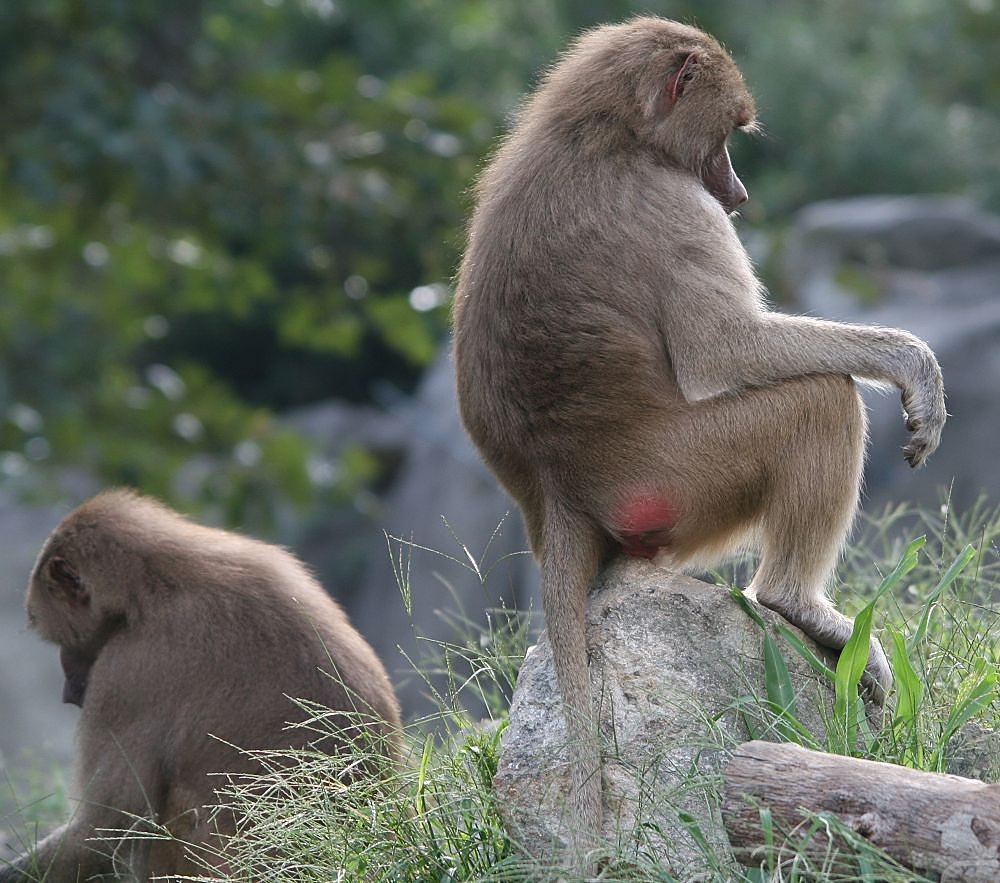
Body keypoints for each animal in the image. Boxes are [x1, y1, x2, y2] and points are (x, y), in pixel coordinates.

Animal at [452, 16, 945, 861]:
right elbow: (725, 351)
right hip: (683, 474)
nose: (739, 195)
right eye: (725, 136)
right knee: (818, 400)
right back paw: (799, 603)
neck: (602, 132)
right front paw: (910, 363)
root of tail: (557, 493)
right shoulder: (673, 202)